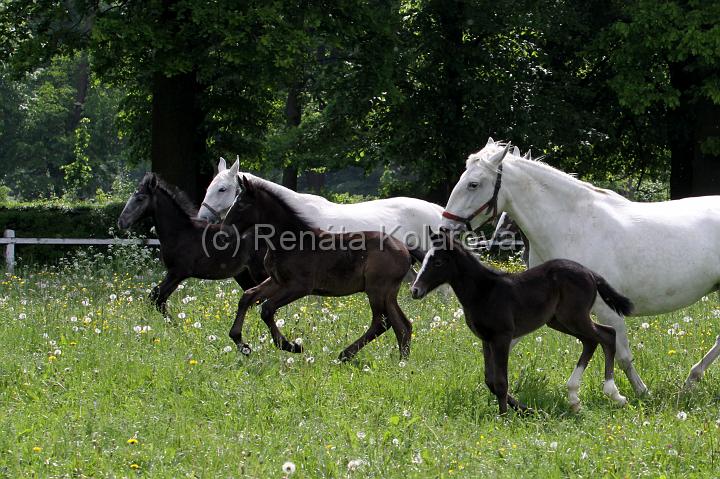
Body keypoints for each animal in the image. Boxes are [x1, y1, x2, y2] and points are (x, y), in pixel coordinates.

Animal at [118, 172, 268, 316]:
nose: (121, 222)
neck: (180, 232)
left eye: (140, 198)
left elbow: (156, 297)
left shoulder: (178, 272)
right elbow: (158, 298)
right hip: (243, 274)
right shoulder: (175, 274)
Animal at [221, 175, 422, 360]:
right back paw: (401, 363)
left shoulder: (299, 286)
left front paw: (292, 346)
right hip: (388, 292)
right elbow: (247, 297)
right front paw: (241, 342)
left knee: (381, 322)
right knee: (402, 325)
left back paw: (345, 354)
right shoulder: (277, 281)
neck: (290, 241)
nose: (224, 231)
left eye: (241, 204)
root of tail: (405, 248)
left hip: (377, 289)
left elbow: (267, 308)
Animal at [410, 231, 632, 414]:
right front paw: (527, 410)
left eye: (438, 262)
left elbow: (500, 381)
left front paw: (504, 417)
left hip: (574, 317)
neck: (484, 291)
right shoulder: (486, 339)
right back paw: (575, 399)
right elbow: (490, 380)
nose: (415, 290)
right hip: (559, 321)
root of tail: (590, 273)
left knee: (608, 335)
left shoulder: (502, 336)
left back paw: (613, 393)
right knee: (592, 340)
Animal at [442, 138, 720, 398]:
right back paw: (691, 380)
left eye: (473, 184)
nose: (445, 228)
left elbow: (622, 354)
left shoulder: (607, 310)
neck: (572, 226)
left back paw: (690, 380)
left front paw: (640, 393)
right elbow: (509, 344)